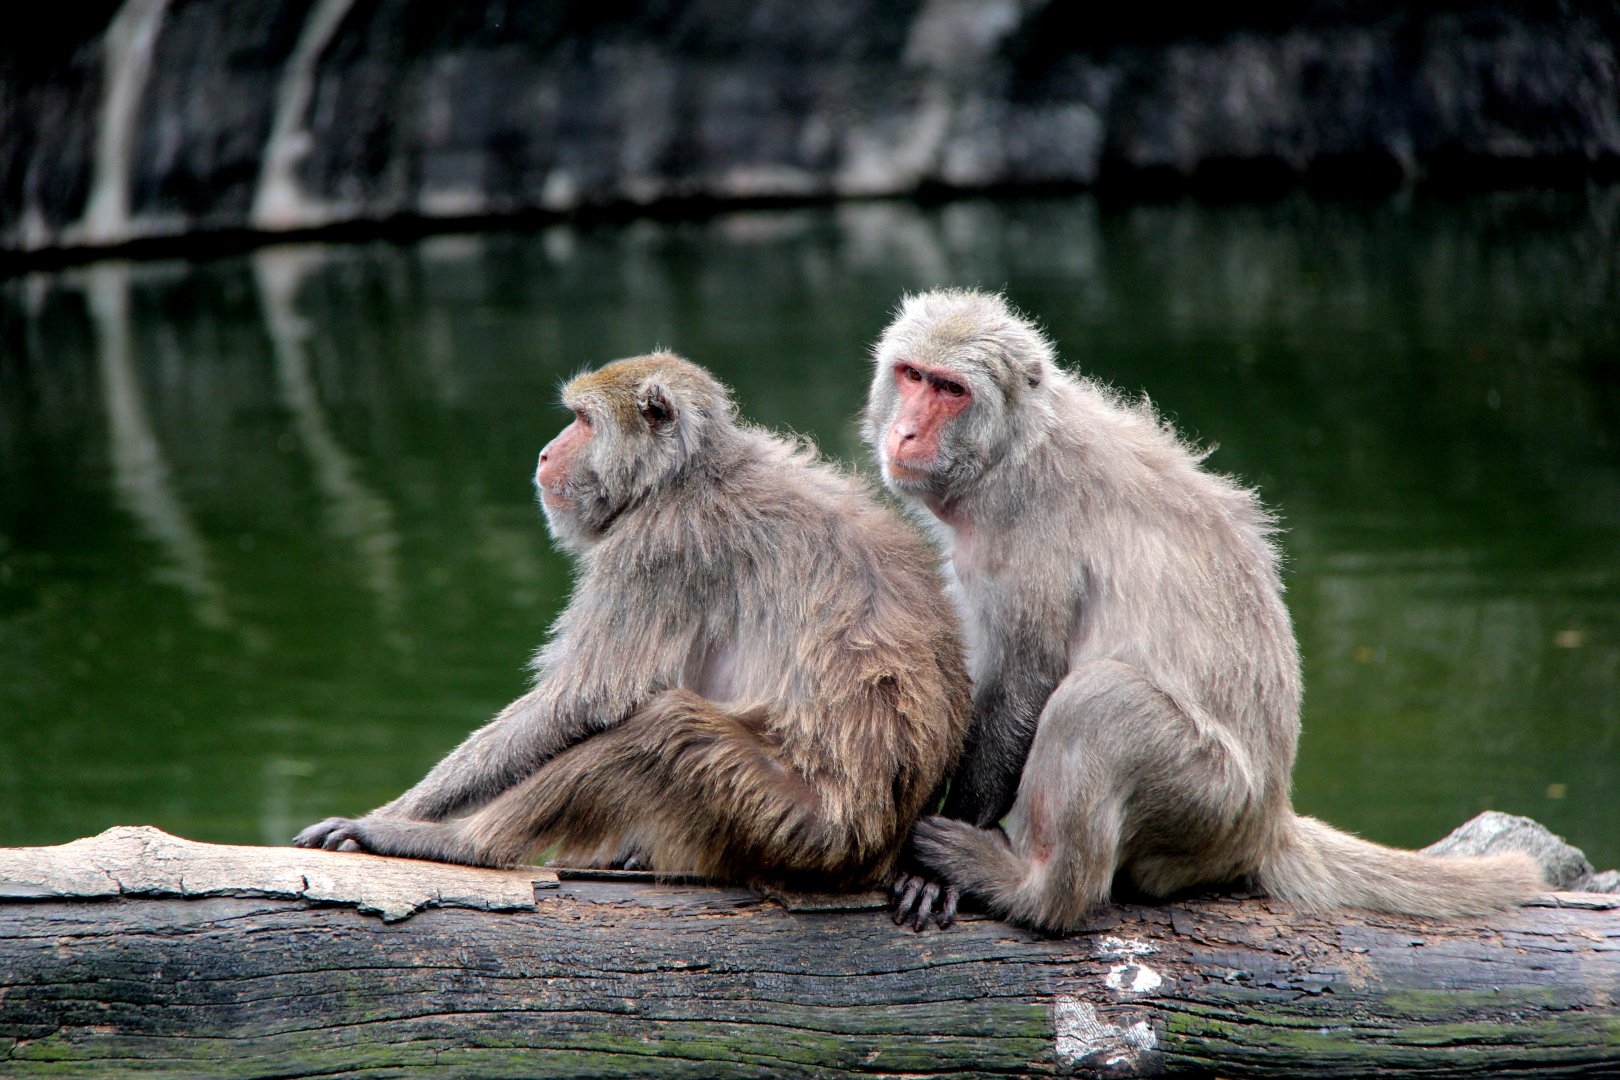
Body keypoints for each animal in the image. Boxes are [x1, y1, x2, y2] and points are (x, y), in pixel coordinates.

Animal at [296, 352, 971, 890]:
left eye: (584, 421)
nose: (545, 451)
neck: (683, 476)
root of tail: (881, 841)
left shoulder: (656, 547)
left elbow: (582, 701)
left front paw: (399, 815)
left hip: (794, 824)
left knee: (665, 731)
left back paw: (465, 845)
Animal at [862, 288, 1546, 933]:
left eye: (951, 390)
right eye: (912, 375)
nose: (906, 432)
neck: (1009, 447)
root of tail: (1269, 822)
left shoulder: (1022, 526)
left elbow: (1025, 685)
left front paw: (932, 870)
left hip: (1209, 804)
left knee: (1100, 702)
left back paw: (1035, 892)